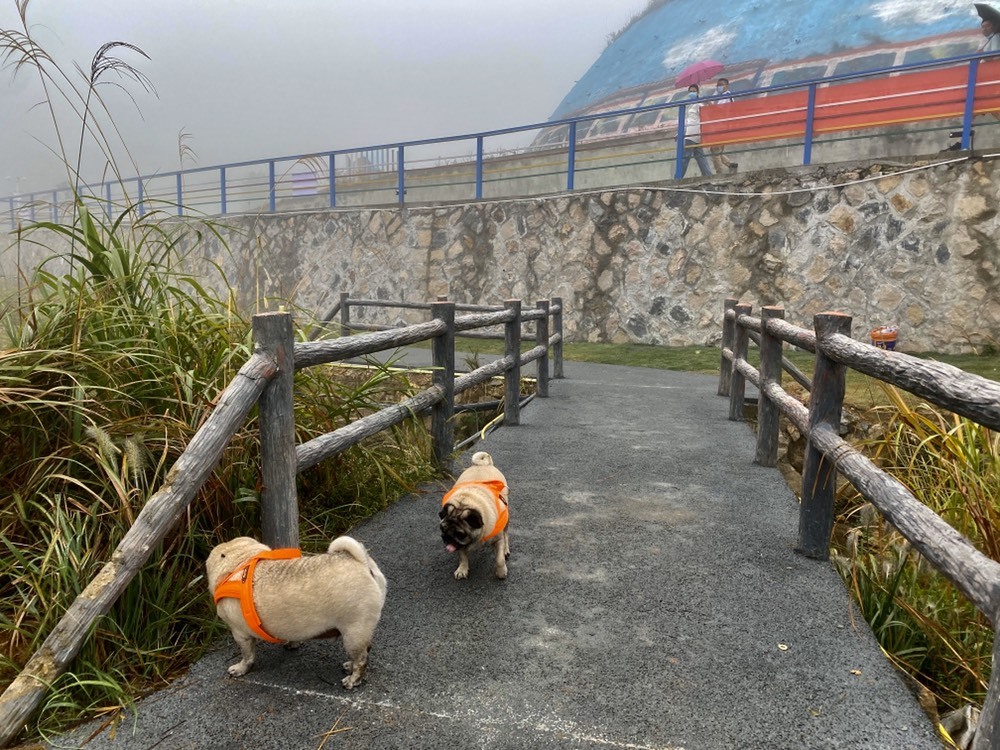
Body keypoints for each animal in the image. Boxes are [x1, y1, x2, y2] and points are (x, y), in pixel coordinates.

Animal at [206, 536, 386, 692]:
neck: (242, 560)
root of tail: (361, 561)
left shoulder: (240, 634)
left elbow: (247, 655)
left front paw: (241, 668)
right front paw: (292, 644)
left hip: (353, 633)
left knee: (361, 659)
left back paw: (353, 679)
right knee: (364, 651)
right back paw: (349, 665)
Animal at [440, 452, 512, 580]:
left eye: (460, 534)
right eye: (442, 529)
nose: (447, 538)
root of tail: (484, 464)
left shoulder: (498, 540)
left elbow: (499, 559)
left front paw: (501, 572)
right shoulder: (460, 545)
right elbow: (462, 556)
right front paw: (462, 569)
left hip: (505, 516)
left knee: (505, 535)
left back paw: (505, 550)